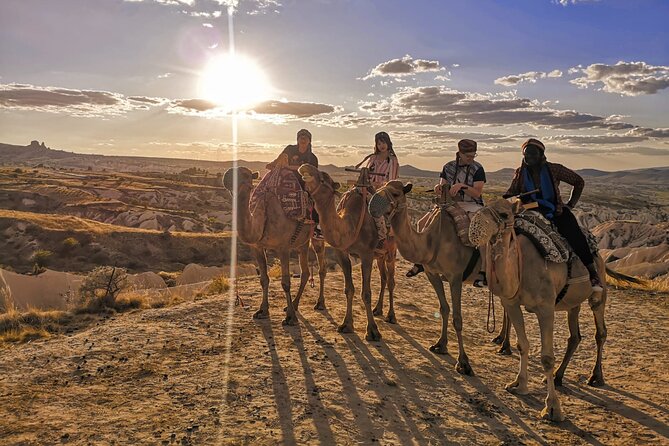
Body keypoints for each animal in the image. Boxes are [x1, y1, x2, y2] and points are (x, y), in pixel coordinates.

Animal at [223, 166, 328, 326]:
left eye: (246, 174)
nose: (227, 176)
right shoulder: (258, 247)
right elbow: (264, 279)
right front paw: (262, 311)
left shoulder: (283, 247)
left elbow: (285, 282)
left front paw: (291, 318)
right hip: (302, 242)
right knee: (305, 271)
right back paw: (295, 304)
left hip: (316, 237)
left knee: (321, 267)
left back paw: (319, 303)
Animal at [298, 164, 396, 342]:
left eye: (324, 178)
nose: (305, 167)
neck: (351, 222)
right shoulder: (342, 253)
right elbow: (349, 289)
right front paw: (346, 325)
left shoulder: (366, 254)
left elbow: (366, 293)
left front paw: (372, 331)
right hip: (380, 255)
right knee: (384, 278)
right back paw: (378, 310)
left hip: (391, 251)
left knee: (391, 281)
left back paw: (391, 316)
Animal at [368, 181, 482, 376]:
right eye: (379, 188)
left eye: (396, 193)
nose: (373, 204)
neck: (432, 241)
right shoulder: (432, 274)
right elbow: (444, 308)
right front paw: (440, 345)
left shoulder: (455, 276)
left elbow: (457, 318)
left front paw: (464, 363)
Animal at [468, 199, 612, 422]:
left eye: (504, 214)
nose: (475, 227)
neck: (521, 265)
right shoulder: (511, 303)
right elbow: (522, 345)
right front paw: (519, 385)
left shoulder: (545, 309)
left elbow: (546, 358)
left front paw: (552, 408)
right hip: (572, 303)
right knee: (575, 336)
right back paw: (559, 377)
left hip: (599, 292)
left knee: (600, 331)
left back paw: (595, 377)